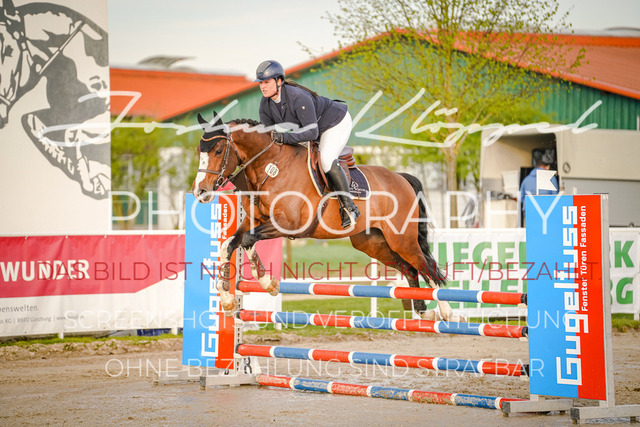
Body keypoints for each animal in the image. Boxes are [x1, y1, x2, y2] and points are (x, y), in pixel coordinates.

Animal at [192, 112, 464, 322]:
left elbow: (248, 241)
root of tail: (401, 178)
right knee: (408, 267)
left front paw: (268, 283)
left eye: (218, 150)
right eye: (198, 151)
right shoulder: (254, 222)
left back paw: (447, 312)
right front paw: (228, 299)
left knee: (425, 265)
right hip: (373, 243)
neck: (270, 169)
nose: (200, 192)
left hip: (401, 239)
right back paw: (423, 311)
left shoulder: (289, 225)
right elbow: (230, 245)